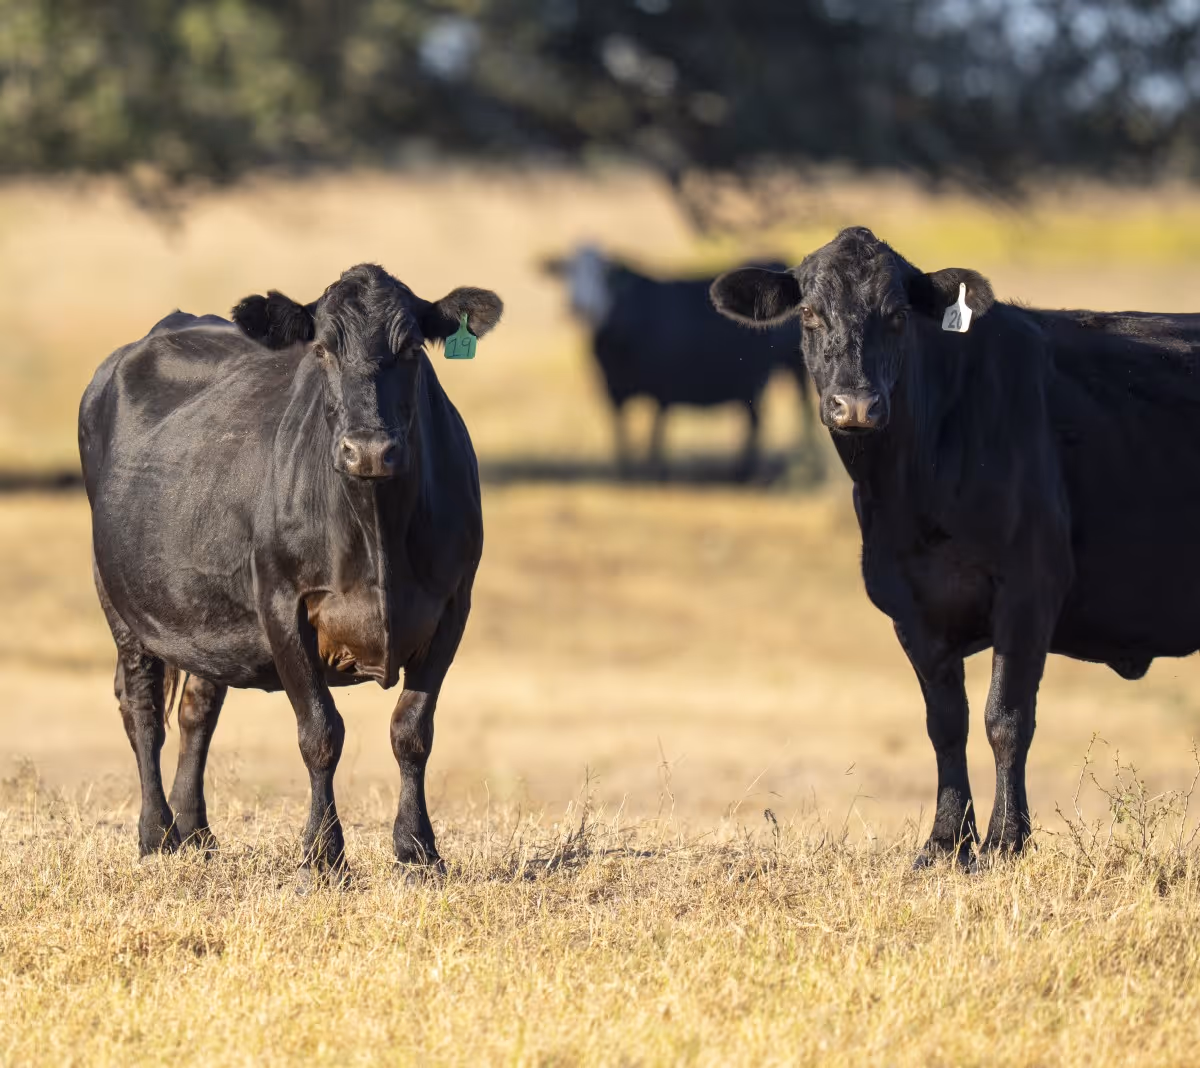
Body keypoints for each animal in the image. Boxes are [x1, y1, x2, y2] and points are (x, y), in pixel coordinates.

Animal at [78, 264, 502, 877]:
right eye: (322, 348)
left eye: (411, 348)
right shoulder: (282, 603)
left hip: (205, 614)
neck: (378, 532)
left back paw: (196, 832)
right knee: (142, 707)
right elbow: (320, 732)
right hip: (118, 599)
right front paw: (323, 854)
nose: (367, 450)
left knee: (197, 710)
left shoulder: (451, 605)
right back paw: (157, 833)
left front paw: (418, 851)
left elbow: (412, 729)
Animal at [544, 245, 815, 479]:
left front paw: (655, 471)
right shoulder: (612, 390)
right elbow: (620, 431)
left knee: (792, 409)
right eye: (569, 272)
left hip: (790, 367)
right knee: (754, 418)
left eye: (603, 276)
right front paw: (626, 473)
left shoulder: (663, 385)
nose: (579, 307)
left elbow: (656, 430)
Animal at [711, 225, 1200, 867]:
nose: (856, 405)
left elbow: (1006, 718)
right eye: (811, 314)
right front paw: (946, 840)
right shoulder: (908, 603)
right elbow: (946, 723)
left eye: (897, 316)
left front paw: (1006, 840)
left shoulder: (1029, 587)